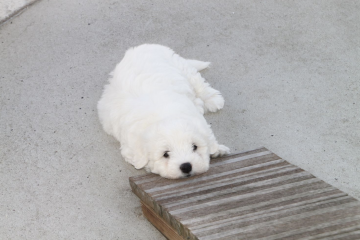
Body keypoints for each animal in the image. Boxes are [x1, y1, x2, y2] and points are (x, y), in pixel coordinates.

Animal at [97, 44, 229, 178]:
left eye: (194, 147)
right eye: (165, 154)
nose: (186, 166)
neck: (164, 116)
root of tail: (141, 47)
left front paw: (218, 150)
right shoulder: (130, 145)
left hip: (181, 66)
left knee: (199, 84)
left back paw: (213, 100)